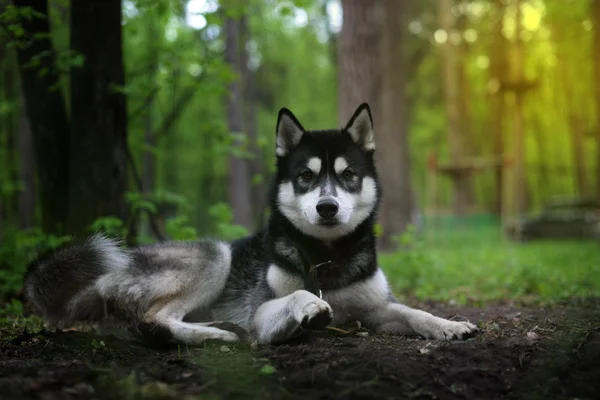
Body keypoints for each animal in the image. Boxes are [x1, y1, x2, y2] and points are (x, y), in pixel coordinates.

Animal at [24, 104, 478, 346]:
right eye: (305, 176)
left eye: (348, 175)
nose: (327, 207)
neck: (326, 259)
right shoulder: (262, 315)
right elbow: (293, 297)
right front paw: (309, 306)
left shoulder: (376, 308)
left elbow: (414, 311)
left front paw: (449, 325)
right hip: (214, 255)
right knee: (154, 319)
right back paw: (217, 336)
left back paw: (216, 327)